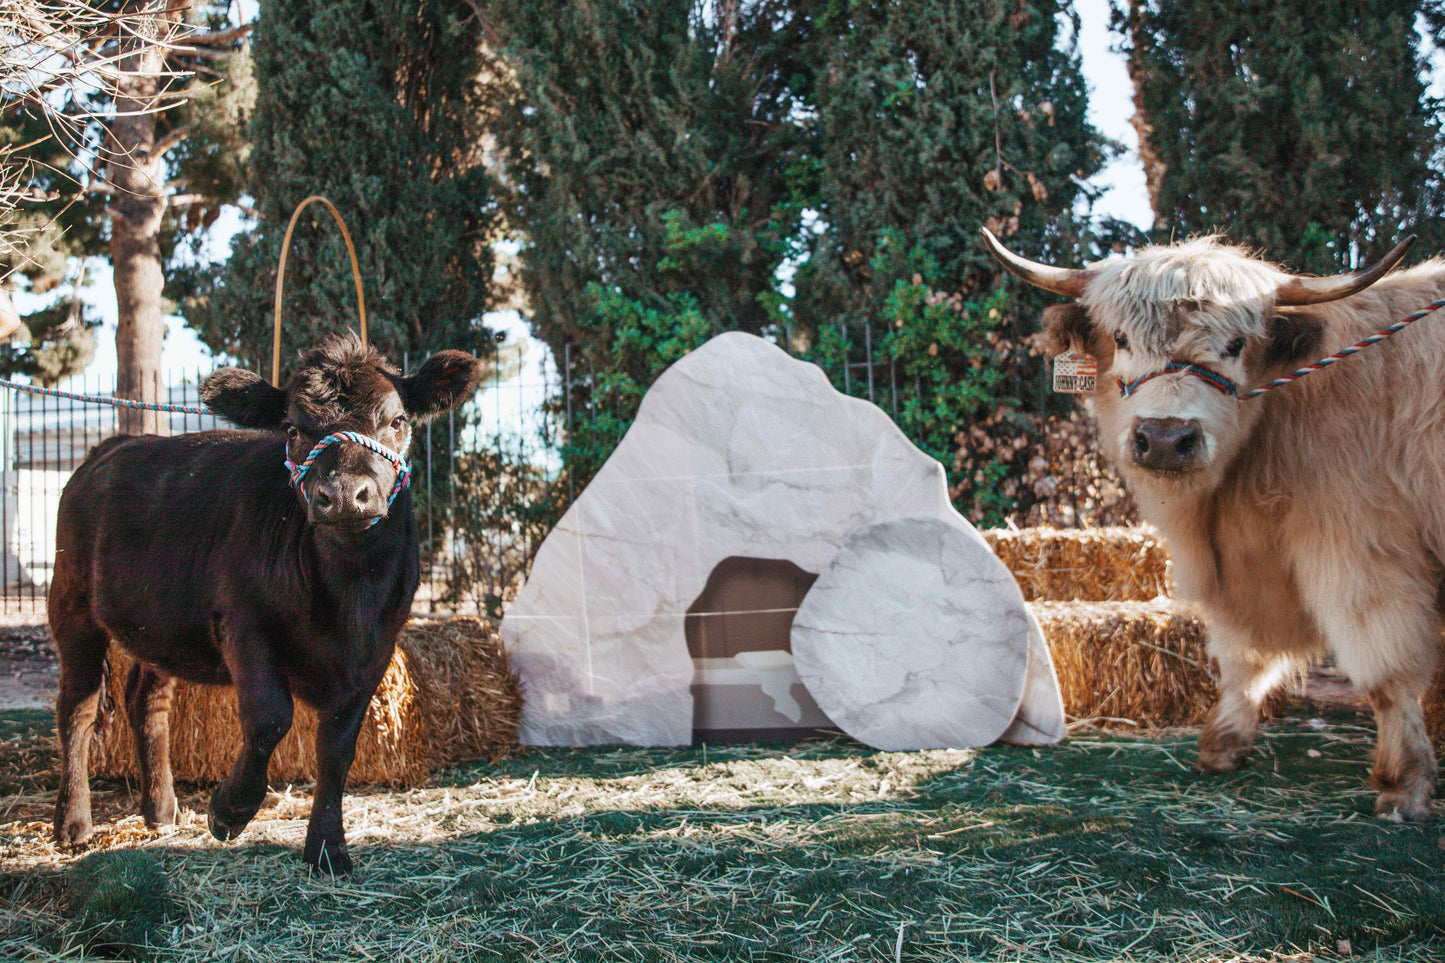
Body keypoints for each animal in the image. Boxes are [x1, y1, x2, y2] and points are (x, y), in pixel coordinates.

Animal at [49, 332, 480, 873]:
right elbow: (270, 718)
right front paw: (229, 809)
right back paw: (74, 823)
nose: (343, 495)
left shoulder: (377, 649)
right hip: (71, 603)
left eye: (398, 421)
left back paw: (162, 811)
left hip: (161, 626)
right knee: (78, 706)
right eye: (292, 428)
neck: (348, 591)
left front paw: (327, 847)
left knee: (146, 703)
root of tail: (110, 448)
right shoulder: (244, 624)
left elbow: (338, 747)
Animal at [982, 227, 1445, 822]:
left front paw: (1404, 784)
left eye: (1235, 345)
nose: (1163, 437)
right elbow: (1243, 658)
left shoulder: (1364, 552)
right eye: (1121, 337)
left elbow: (1388, 672)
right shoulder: (1245, 573)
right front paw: (1223, 745)